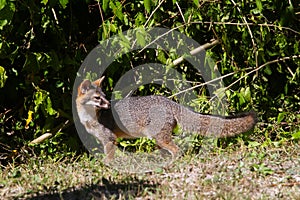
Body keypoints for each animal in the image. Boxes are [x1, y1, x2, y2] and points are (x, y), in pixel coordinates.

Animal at [76, 76, 256, 162]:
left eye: (104, 97)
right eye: (98, 98)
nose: (108, 105)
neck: (89, 118)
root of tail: (170, 102)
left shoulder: (110, 139)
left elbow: (108, 159)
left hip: (159, 138)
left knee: (177, 150)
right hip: (159, 138)